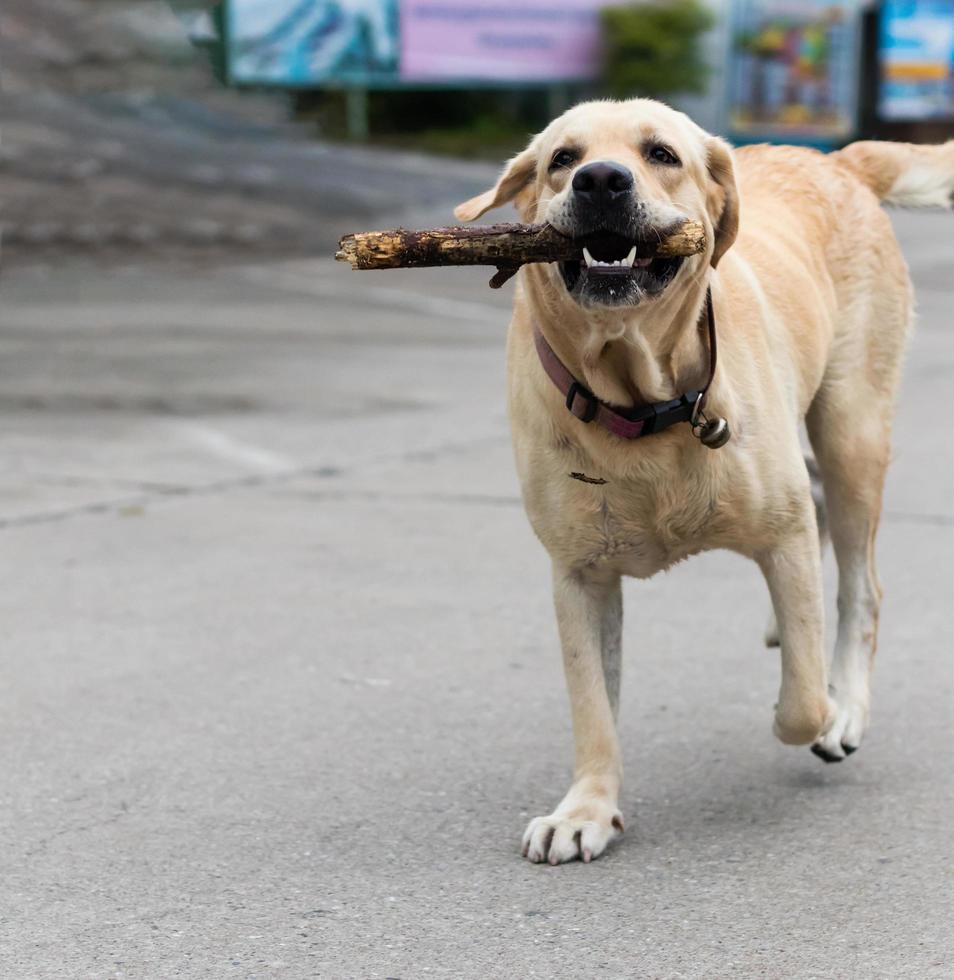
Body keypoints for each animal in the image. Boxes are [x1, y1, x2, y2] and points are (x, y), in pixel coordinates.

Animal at [454, 99, 952, 864]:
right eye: (562, 159)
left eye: (661, 153)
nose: (601, 180)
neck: (640, 401)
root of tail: (836, 161)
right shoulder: (579, 575)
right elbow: (592, 706)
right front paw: (586, 810)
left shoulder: (781, 533)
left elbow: (800, 702)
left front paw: (820, 707)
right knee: (820, 519)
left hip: (853, 429)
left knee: (858, 583)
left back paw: (847, 704)